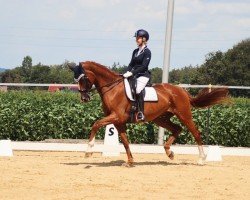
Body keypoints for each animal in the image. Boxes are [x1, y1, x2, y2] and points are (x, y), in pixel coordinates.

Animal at [69, 60, 229, 166]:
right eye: (76, 79)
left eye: (83, 78)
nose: (84, 98)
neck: (112, 88)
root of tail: (182, 90)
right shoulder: (118, 121)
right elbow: (125, 141)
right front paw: (130, 161)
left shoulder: (116, 116)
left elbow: (96, 124)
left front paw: (88, 151)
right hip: (161, 119)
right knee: (177, 129)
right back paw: (169, 153)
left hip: (184, 115)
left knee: (195, 132)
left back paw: (201, 158)